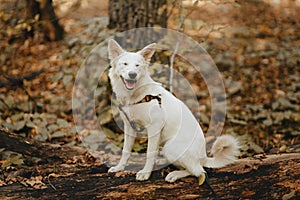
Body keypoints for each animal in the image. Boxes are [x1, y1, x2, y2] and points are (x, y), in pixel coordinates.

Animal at [106, 39, 240, 183]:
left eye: (137, 65)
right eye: (124, 64)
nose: (132, 74)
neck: (137, 95)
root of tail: (203, 156)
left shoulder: (155, 126)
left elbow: (150, 153)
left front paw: (146, 173)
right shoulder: (129, 126)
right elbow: (126, 150)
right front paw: (119, 167)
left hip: (170, 147)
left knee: (199, 171)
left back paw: (175, 174)